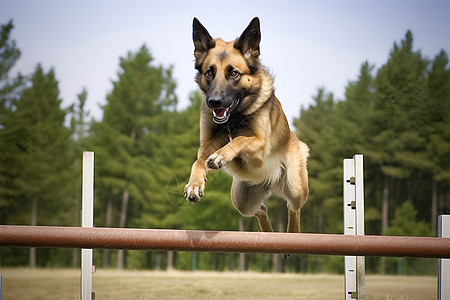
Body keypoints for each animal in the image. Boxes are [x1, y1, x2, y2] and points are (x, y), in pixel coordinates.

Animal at [184, 17, 310, 234]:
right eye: (209, 73)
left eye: (234, 73)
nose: (214, 102)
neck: (232, 120)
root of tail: (270, 181)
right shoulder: (206, 146)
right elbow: (198, 162)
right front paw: (195, 184)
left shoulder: (260, 145)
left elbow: (240, 139)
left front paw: (221, 155)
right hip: (241, 200)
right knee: (261, 209)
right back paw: (268, 233)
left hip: (295, 187)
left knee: (293, 208)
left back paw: (292, 233)